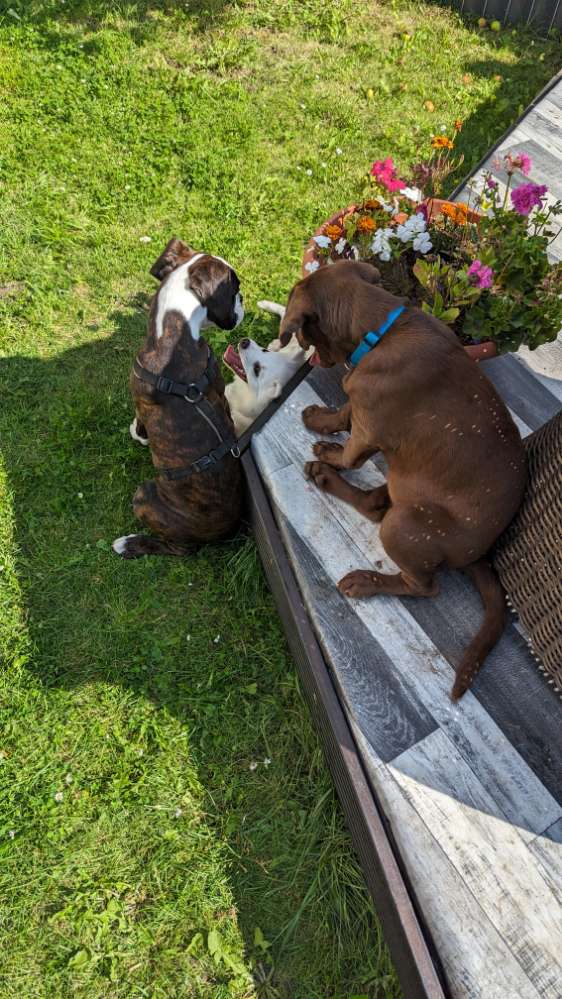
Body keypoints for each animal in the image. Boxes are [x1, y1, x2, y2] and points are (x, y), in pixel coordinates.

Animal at [113, 238, 243, 560]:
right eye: (234, 290)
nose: (243, 300)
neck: (174, 329)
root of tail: (222, 533)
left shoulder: (140, 404)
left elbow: (140, 425)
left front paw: (138, 434)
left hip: (143, 495)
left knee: (172, 549)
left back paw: (129, 543)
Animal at [278, 262, 524, 700]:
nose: (312, 358)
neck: (380, 333)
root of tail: (479, 554)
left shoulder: (368, 430)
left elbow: (350, 451)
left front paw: (330, 452)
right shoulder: (361, 411)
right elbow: (344, 412)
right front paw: (322, 421)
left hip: (406, 525)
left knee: (421, 585)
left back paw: (363, 577)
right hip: (404, 487)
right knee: (375, 504)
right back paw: (325, 479)